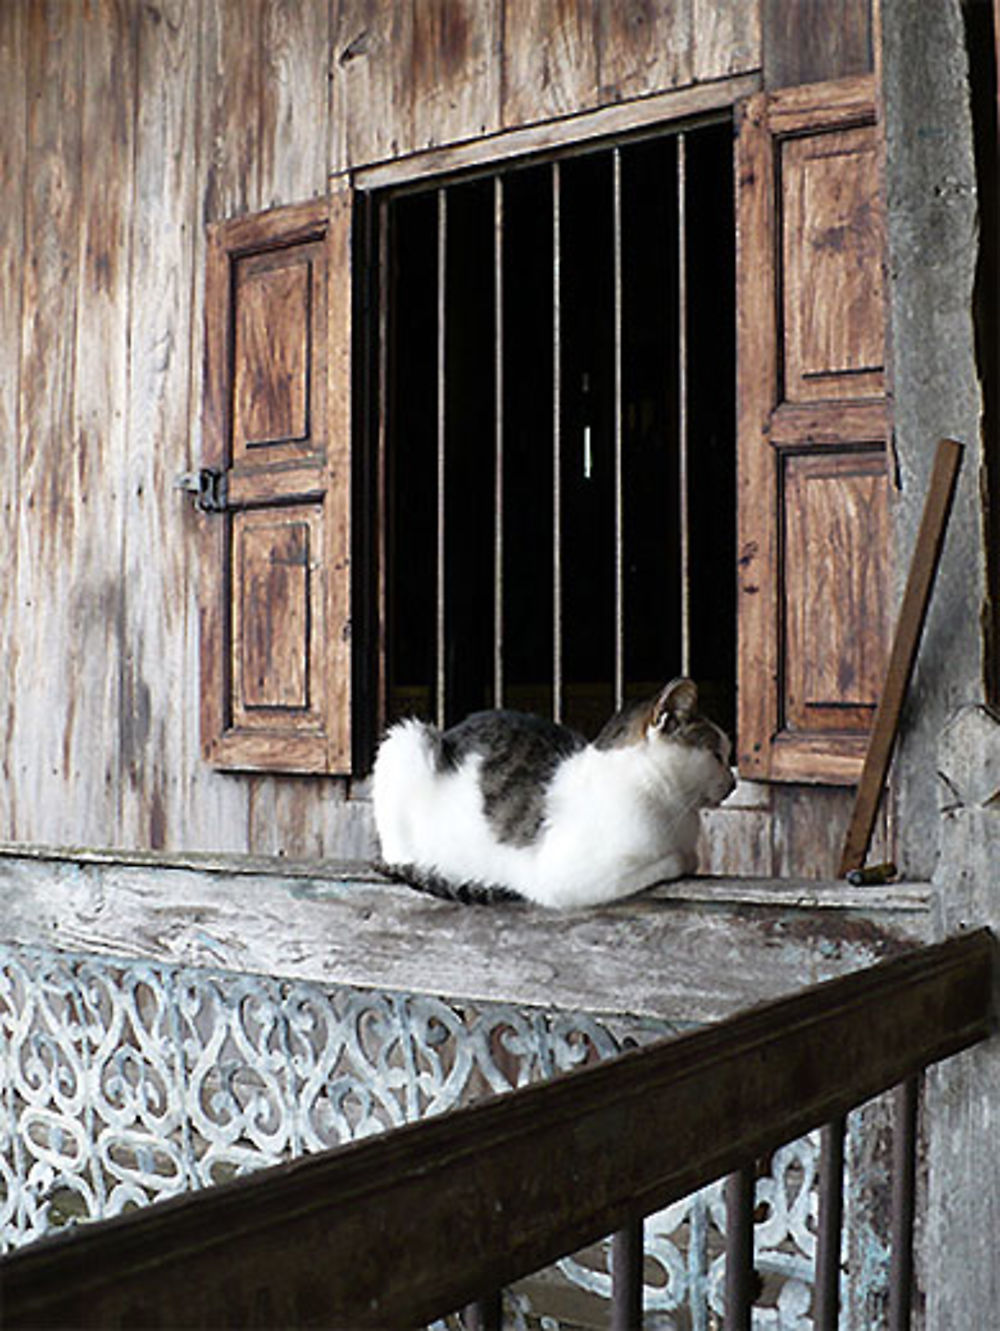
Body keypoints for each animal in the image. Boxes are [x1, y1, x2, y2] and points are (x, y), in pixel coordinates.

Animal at [372, 681, 735, 910]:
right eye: (718, 755)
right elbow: (677, 860)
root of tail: (448, 731)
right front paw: (683, 858)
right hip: (407, 738)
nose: (733, 783)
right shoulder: (565, 880)